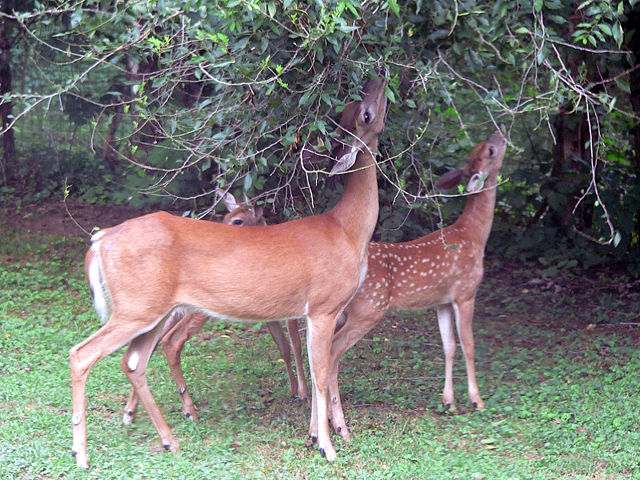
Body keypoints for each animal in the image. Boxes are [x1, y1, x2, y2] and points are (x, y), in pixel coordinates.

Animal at [120, 192, 308, 428]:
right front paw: (303, 393)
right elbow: (296, 344)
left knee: (148, 348)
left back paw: (130, 412)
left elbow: (284, 347)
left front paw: (293, 389)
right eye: (227, 216)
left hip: (169, 314)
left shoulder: (271, 313)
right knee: (170, 341)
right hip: (196, 311)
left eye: (237, 220)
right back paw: (187, 410)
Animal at [323, 131, 507, 442]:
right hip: (368, 308)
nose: (499, 133)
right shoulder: (466, 292)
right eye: (490, 150)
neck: (474, 235)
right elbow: (469, 345)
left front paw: (449, 402)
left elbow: (449, 346)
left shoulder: (442, 301)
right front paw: (476, 400)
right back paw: (339, 426)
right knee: (333, 351)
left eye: (480, 147)